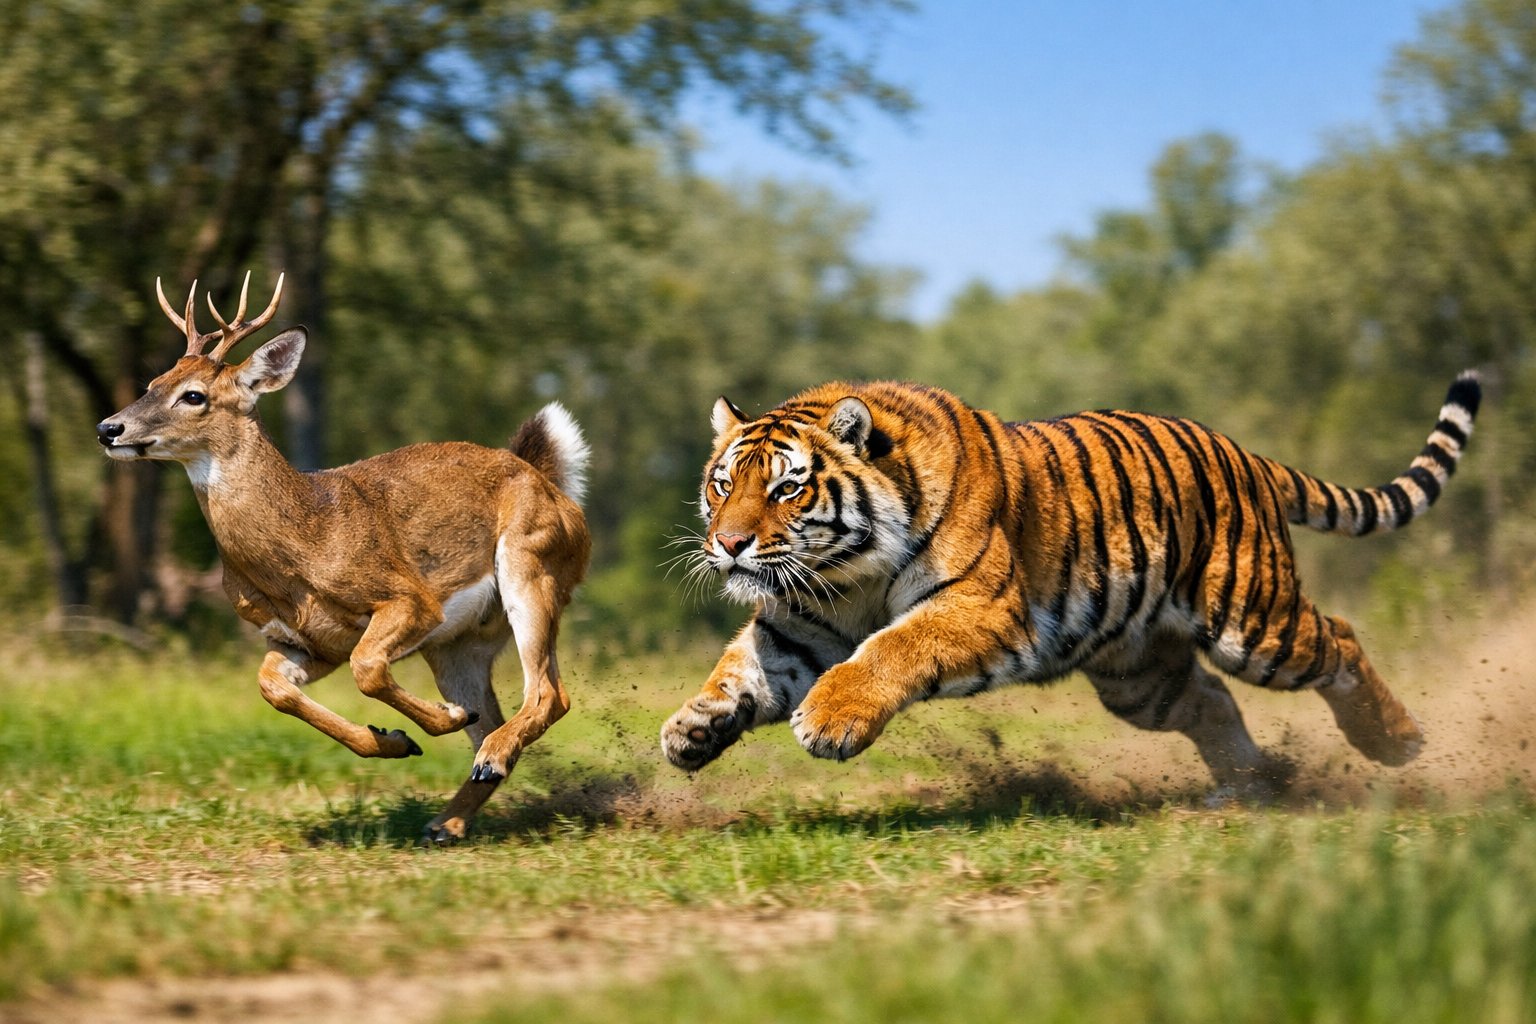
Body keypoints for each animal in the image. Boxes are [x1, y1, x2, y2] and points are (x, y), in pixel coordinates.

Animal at [96, 272, 591, 841]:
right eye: (154, 381)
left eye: (193, 395)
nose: (108, 428)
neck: (304, 541)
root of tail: (553, 485)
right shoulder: (304, 640)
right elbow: (273, 688)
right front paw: (396, 739)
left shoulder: (411, 598)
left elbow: (367, 667)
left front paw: (434, 723)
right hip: (459, 643)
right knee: (497, 710)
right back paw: (446, 819)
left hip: (530, 565)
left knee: (550, 694)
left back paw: (481, 759)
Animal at [660, 373, 1481, 797]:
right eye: (724, 484)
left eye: (787, 489)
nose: (727, 545)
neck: (848, 574)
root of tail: (1246, 454)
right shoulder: (799, 625)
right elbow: (742, 670)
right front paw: (693, 729)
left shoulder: (980, 608)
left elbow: (893, 649)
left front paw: (832, 720)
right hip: (1137, 675)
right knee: (1211, 699)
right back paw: (1249, 785)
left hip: (1255, 621)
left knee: (1338, 640)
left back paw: (1396, 742)